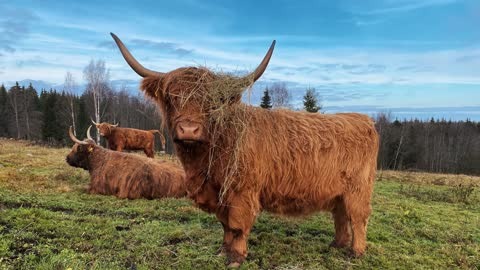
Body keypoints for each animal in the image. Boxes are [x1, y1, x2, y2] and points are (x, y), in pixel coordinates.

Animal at [111, 32, 378, 266]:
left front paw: (236, 258)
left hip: (358, 189)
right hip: (339, 192)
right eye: (172, 97)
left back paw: (355, 252)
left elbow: (238, 225)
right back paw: (337, 245)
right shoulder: (218, 192)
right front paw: (222, 251)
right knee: (341, 216)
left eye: (212, 103)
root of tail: (364, 120)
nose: (189, 130)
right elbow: (225, 225)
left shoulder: (241, 190)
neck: (205, 160)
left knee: (358, 218)